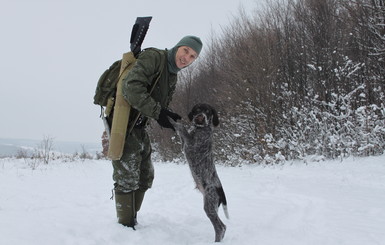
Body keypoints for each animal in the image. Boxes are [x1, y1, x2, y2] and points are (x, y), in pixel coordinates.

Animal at [168, 103, 228, 241]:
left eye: (208, 111)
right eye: (197, 110)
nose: (200, 117)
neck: (201, 129)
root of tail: (220, 189)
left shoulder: (191, 146)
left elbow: (181, 127)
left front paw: (168, 117)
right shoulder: (185, 144)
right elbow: (181, 132)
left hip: (209, 205)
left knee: (220, 228)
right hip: (212, 206)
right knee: (222, 227)